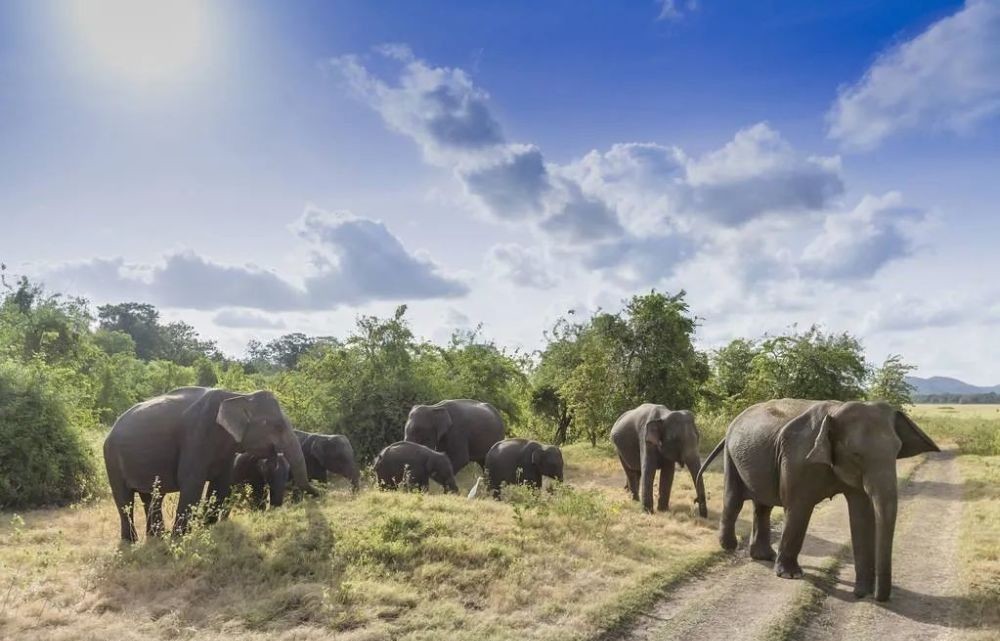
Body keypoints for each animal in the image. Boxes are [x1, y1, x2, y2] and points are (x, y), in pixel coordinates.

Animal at [103, 384, 318, 540]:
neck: (238, 396)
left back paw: (156, 537)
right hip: (111, 457)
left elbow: (220, 484)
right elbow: (192, 483)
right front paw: (179, 539)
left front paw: (209, 529)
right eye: (277, 426)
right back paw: (131, 542)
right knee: (124, 499)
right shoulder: (196, 435)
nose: (318, 494)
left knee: (152, 497)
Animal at [700, 398, 940, 604]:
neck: (836, 411)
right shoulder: (798, 459)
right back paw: (730, 547)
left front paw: (862, 590)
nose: (870, 595)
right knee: (734, 500)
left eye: (897, 451)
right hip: (731, 456)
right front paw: (791, 576)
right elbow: (798, 508)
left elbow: (861, 515)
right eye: (856, 454)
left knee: (763, 506)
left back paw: (764, 556)